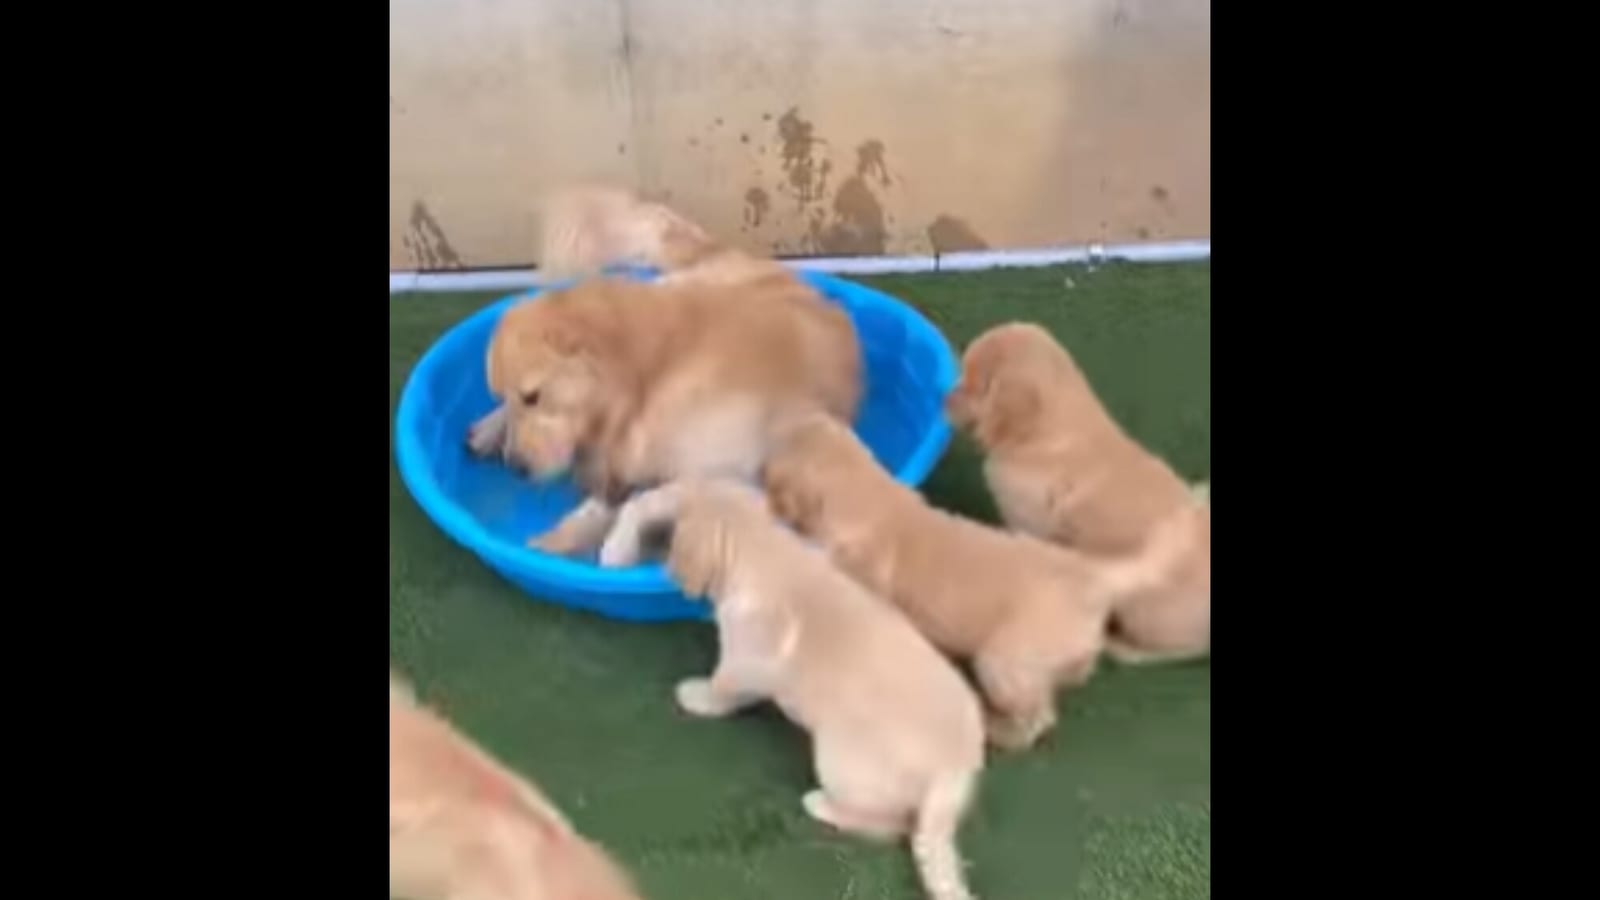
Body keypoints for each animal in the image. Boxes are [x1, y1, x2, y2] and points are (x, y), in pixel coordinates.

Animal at [464, 184, 864, 554]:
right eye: (522, 398)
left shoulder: (729, 472)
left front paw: (615, 544)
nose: (516, 468)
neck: (650, 375)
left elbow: (641, 500)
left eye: (533, 397)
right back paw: (486, 430)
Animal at [598, 480, 979, 900]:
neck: (762, 548)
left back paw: (821, 804)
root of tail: (953, 768)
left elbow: (722, 687)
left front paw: (697, 696)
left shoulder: (745, 661)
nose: (649, 506)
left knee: (889, 824)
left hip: (840, 762)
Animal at [764, 416, 1152, 749]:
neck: (870, 499)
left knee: (1037, 716)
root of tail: (1090, 578)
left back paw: (1001, 732)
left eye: (771, 476)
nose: (759, 470)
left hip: (1004, 664)